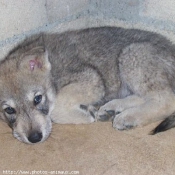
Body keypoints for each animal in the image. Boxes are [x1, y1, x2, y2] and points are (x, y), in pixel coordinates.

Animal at [0, 26, 175, 144]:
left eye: (37, 99)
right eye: (9, 110)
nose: (35, 138)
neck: (52, 73)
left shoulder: (92, 79)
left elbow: (56, 106)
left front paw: (84, 115)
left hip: (132, 54)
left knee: (166, 100)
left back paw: (127, 117)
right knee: (144, 97)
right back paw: (112, 109)